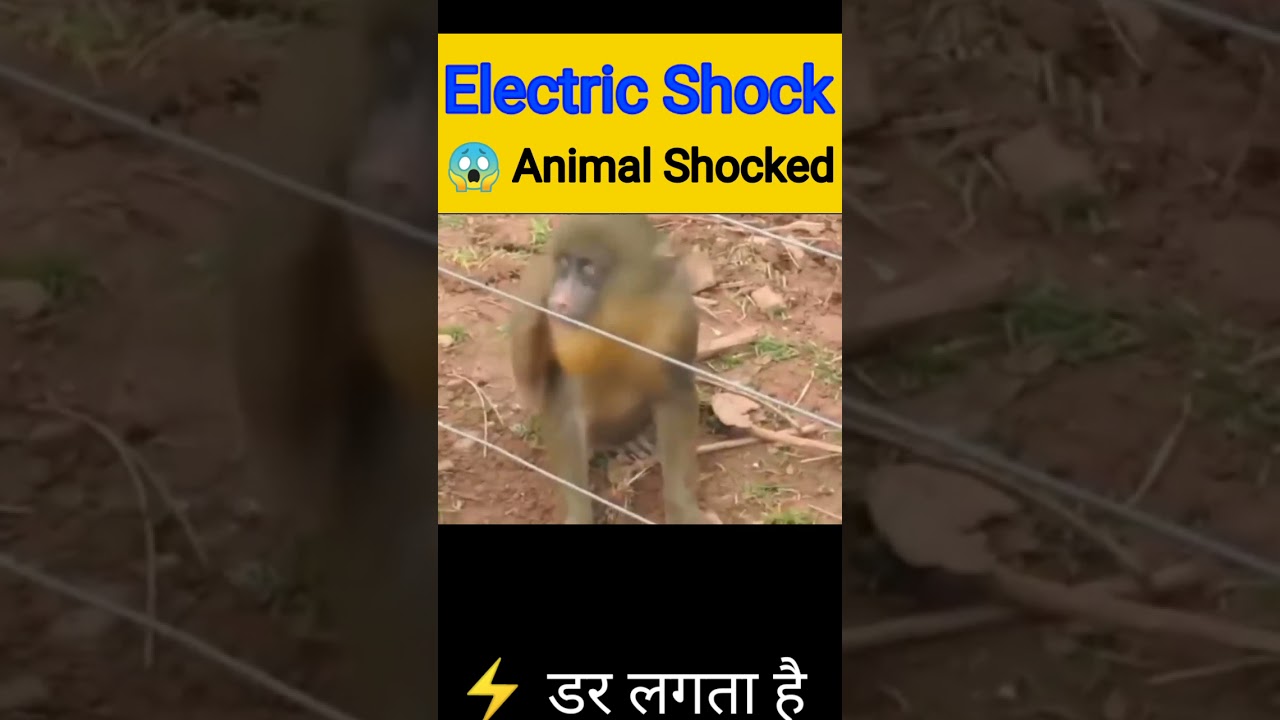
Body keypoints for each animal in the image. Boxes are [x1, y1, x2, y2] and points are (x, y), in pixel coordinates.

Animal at [509, 215, 710, 525]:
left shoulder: (676, 316)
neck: (618, 320)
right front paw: (579, 515)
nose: (559, 299)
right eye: (564, 265)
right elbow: (564, 411)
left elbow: (675, 397)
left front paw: (683, 509)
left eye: (588, 269)